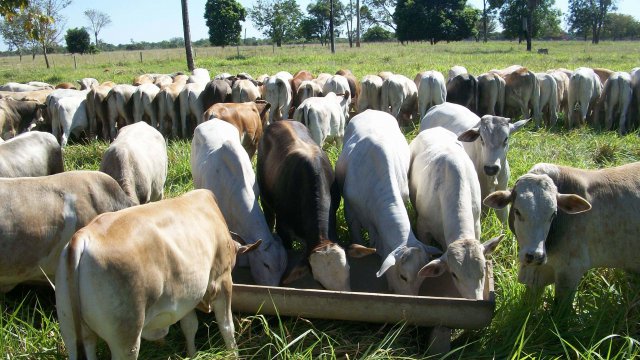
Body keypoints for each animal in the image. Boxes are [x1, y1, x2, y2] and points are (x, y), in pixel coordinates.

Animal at [54, 190, 255, 358]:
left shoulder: (187, 296)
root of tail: (83, 236)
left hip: (72, 333)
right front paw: (234, 354)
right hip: (126, 342)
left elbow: (189, 326)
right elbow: (227, 326)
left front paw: (192, 354)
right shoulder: (222, 281)